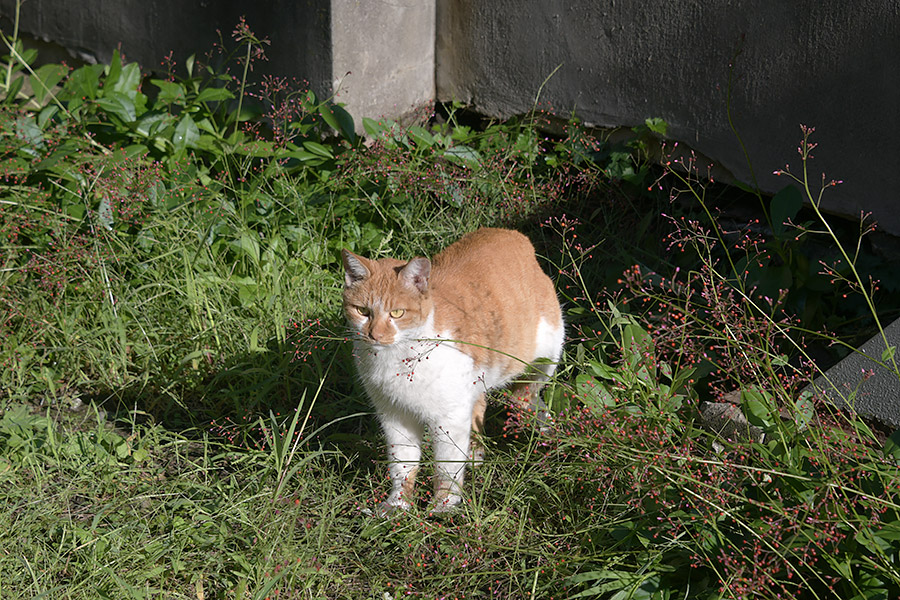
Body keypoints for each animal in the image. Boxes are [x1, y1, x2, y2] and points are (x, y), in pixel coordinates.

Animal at [342, 227, 564, 512]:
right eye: (362, 311)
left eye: (397, 313)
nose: (374, 335)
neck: (398, 357)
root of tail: (512, 233)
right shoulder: (394, 415)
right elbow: (403, 464)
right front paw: (398, 505)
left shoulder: (449, 417)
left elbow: (446, 465)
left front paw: (443, 506)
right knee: (481, 406)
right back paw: (475, 456)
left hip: (542, 360)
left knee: (529, 399)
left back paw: (549, 434)